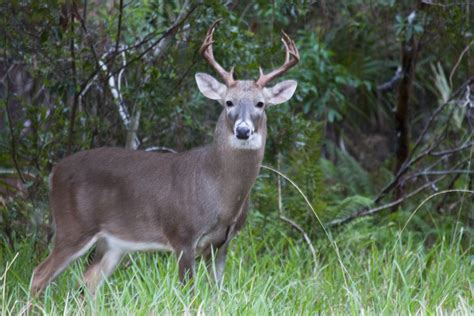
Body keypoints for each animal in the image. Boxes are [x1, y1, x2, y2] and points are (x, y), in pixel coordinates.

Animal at [29, 20, 298, 296]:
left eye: (261, 104)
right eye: (228, 102)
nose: (243, 130)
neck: (219, 192)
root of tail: (54, 172)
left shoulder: (222, 244)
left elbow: (216, 293)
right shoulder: (182, 235)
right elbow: (189, 293)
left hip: (111, 243)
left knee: (87, 284)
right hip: (74, 226)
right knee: (39, 274)